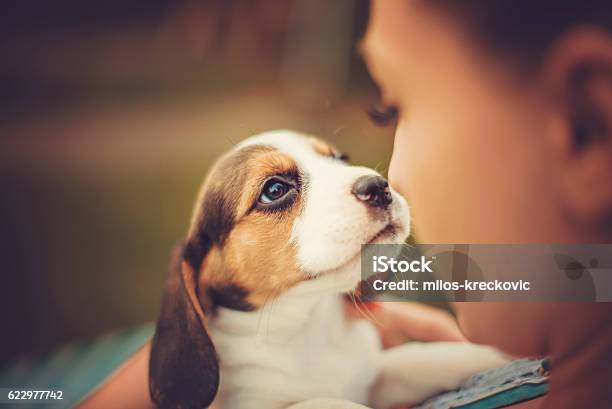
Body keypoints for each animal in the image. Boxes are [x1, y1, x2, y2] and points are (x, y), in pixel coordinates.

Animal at [148, 130, 506, 408]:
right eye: (274, 190)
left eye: (341, 159)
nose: (379, 186)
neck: (307, 324)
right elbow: (331, 404)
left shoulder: (374, 378)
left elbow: (415, 361)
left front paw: (488, 357)